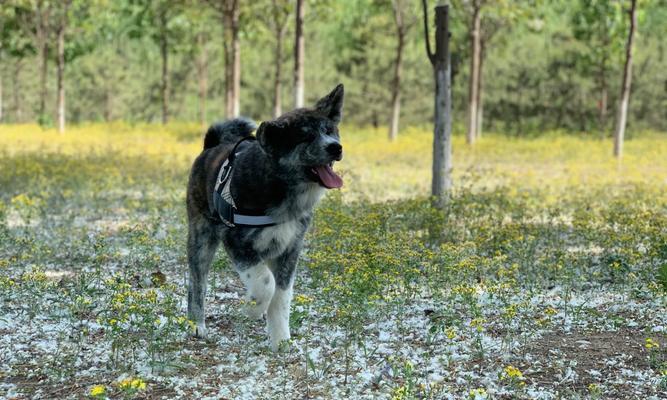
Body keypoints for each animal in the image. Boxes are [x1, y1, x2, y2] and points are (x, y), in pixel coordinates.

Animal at [187, 84, 344, 350]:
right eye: (305, 137)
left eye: (329, 131)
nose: (336, 147)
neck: (281, 186)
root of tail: (211, 146)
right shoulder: (236, 242)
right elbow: (265, 284)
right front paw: (252, 309)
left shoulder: (290, 248)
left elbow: (281, 295)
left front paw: (280, 339)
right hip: (201, 238)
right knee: (197, 282)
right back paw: (196, 324)